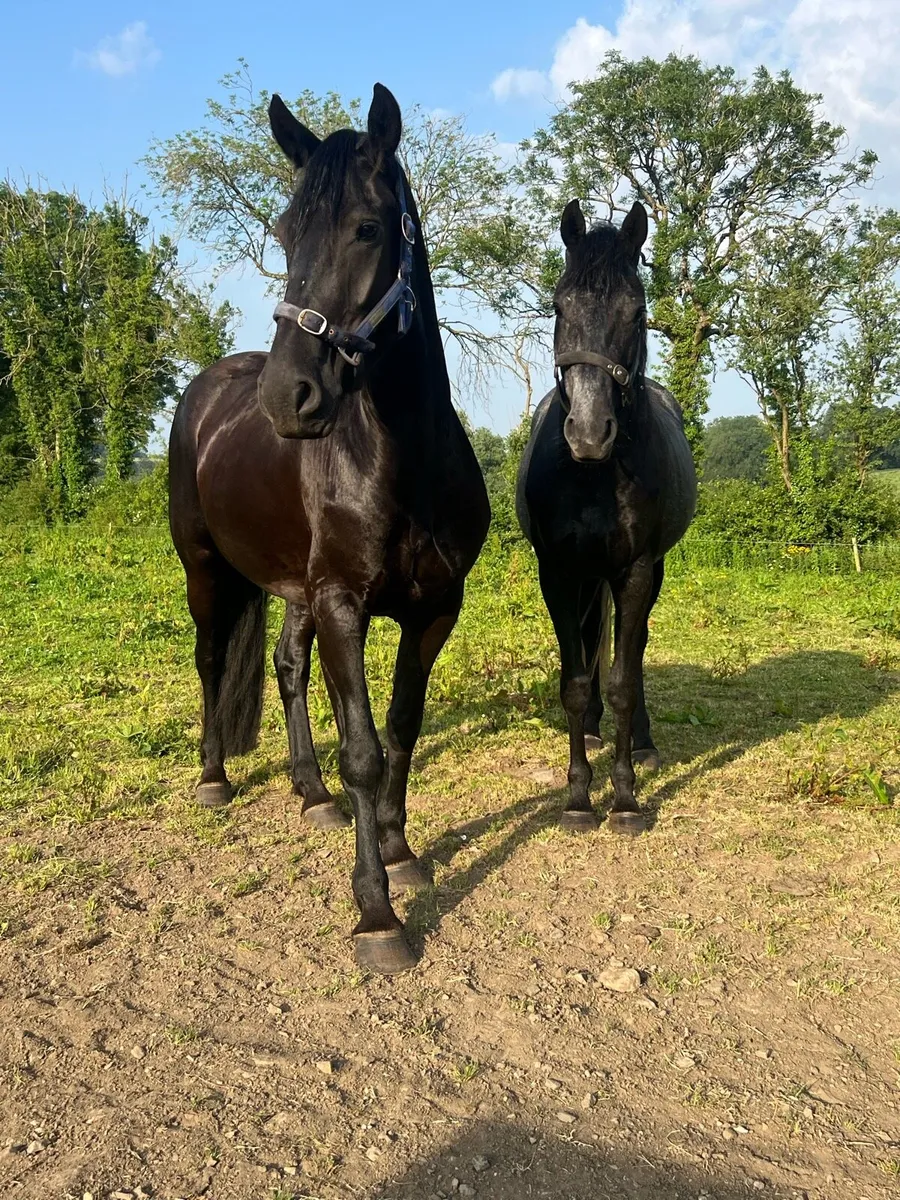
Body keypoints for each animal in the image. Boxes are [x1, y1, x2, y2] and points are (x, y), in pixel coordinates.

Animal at [168, 84, 490, 974]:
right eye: (285, 231)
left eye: (368, 229)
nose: (290, 397)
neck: (404, 460)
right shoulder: (345, 604)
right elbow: (365, 752)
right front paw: (377, 917)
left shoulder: (432, 609)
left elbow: (403, 732)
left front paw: (403, 854)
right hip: (205, 569)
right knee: (213, 662)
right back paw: (214, 779)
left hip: (292, 586)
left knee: (285, 665)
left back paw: (309, 793)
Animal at [516, 199, 697, 835]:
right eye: (558, 305)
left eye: (636, 310)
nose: (590, 433)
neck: (593, 477)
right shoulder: (559, 572)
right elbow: (573, 680)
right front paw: (576, 796)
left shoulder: (637, 568)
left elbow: (623, 676)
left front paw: (624, 798)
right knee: (595, 640)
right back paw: (593, 732)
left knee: (631, 651)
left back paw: (640, 741)